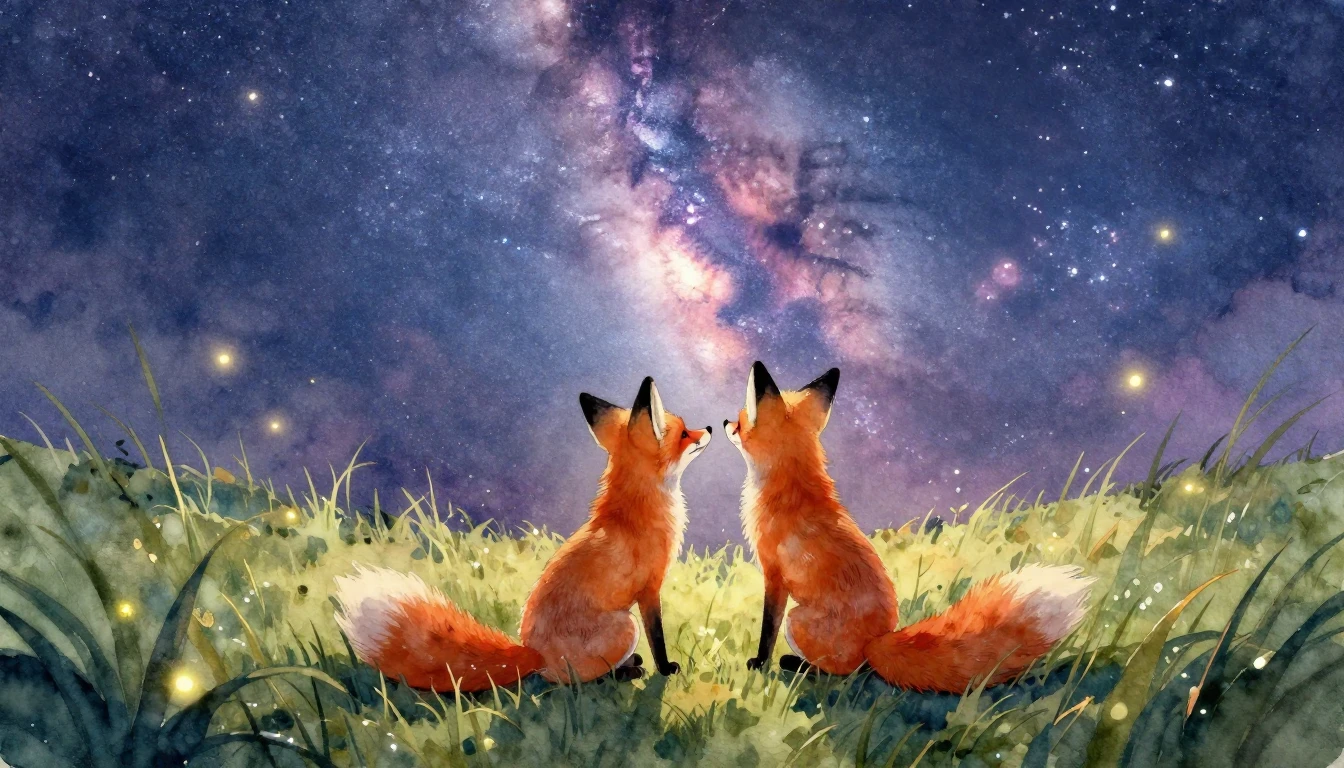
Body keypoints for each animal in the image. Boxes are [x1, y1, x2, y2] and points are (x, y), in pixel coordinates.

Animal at [332, 376, 712, 692]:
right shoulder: (649, 589)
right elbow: (658, 637)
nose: (709, 426)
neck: (633, 512)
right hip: (625, 626)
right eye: (683, 433)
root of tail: (533, 653)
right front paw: (666, 668)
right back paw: (625, 670)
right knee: (574, 682)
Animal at [725, 361, 1095, 692]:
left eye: (740, 421)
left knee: (849, 672)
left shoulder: (774, 575)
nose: (725, 421)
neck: (793, 488)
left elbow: (767, 630)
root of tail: (877, 642)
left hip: (798, 621)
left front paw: (759, 663)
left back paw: (797, 665)